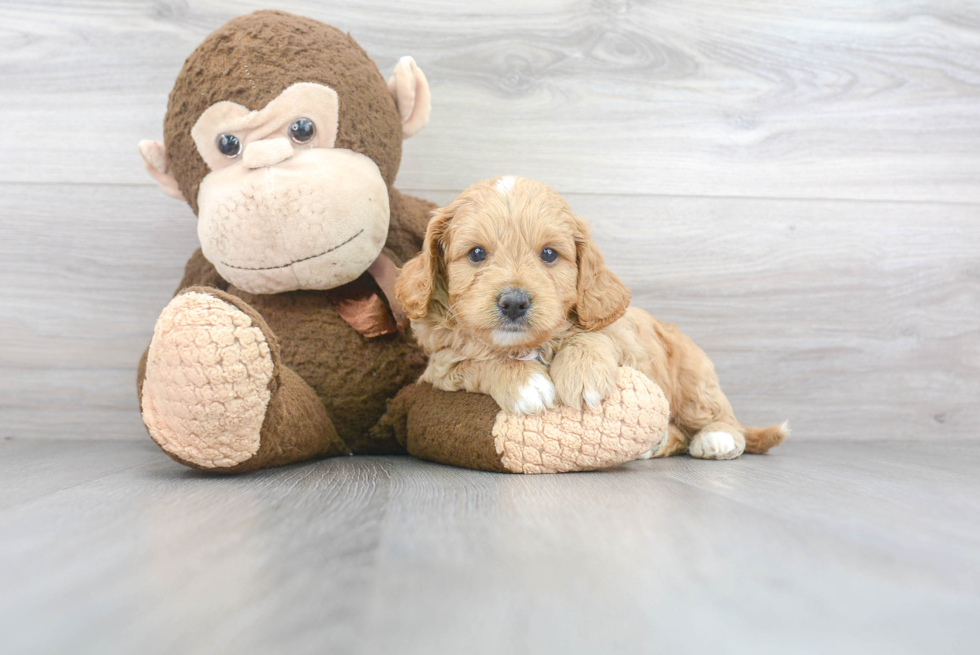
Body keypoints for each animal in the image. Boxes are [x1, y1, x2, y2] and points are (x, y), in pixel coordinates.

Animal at [394, 177, 784, 458]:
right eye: (476, 254)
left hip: (693, 379)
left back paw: (717, 438)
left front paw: (583, 376)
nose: (514, 303)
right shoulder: (441, 366)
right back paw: (657, 444)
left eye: (549, 254)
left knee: (717, 415)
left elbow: (593, 334)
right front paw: (525, 382)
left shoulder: (620, 332)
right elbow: (475, 359)